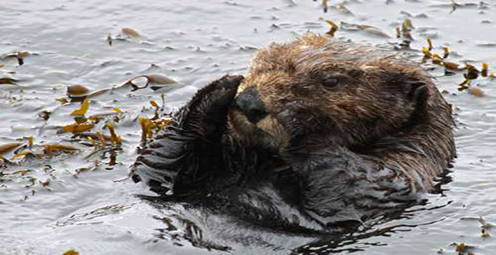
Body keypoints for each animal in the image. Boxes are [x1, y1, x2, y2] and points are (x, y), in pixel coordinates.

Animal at [131, 34, 454, 232]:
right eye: (260, 62)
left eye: (332, 81)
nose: (249, 101)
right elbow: (153, 168)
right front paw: (222, 87)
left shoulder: (397, 177)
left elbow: (346, 184)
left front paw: (298, 117)